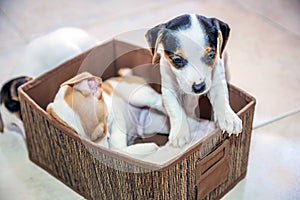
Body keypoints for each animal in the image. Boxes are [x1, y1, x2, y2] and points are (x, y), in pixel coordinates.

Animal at [145, 13, 241, 146]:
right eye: (177, 60)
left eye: (211, 55)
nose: (199, 87)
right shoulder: (168, 90)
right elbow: (175, 109)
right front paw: (180, 133)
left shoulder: (216, 80)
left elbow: (221, 97)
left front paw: (229, 117)